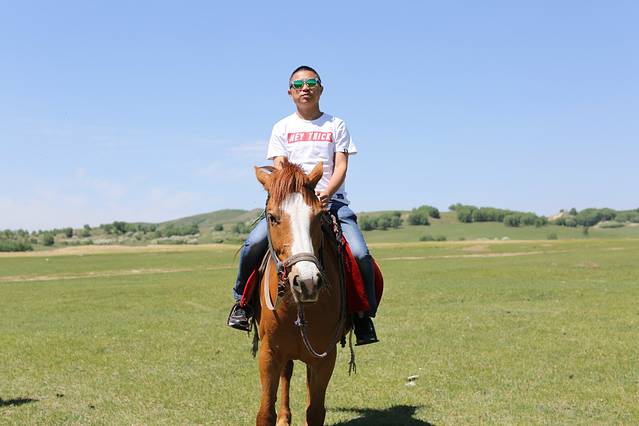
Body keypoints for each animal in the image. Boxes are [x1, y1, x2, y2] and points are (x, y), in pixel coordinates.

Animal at [253, 159, 346, 426]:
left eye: (318, 215)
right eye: (272, 217)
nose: (307, 282)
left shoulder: (325, 355)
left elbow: (315, 411)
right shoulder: (269, 353)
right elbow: (265, 412)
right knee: (287, 374)